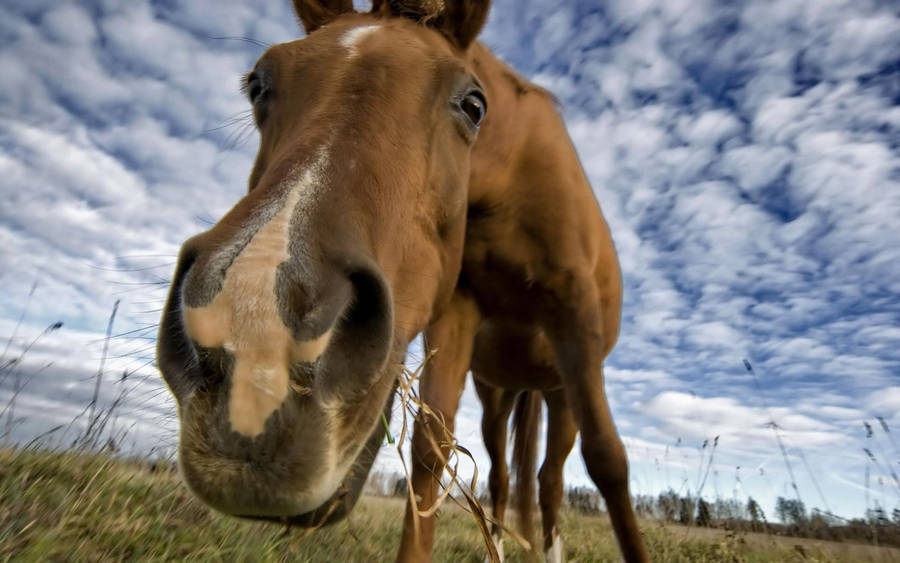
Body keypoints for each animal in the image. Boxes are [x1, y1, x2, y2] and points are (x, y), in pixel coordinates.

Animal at [156, 1, 649, 562]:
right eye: (258, 85)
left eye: (474, 105)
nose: (257, 345)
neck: (511, 178)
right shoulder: (456, 311)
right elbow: (431, 451)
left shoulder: (575, 313)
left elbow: (608, 461)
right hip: (497, 393)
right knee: (504, 476)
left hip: (562, 389)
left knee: (550, 480)